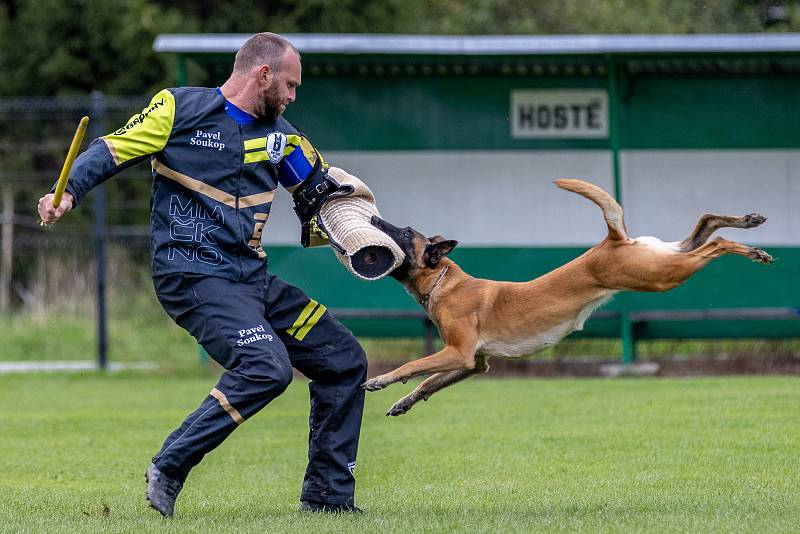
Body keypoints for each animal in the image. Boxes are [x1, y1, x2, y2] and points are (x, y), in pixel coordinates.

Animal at [366, 180, 772, 418]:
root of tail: (611, 240)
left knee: (716, 243)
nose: (373, 219)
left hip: (660, 276)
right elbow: (427, 382)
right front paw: (403, 401)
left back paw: (753, 251)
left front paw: (380, 380)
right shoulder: (473, 363)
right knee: (705, 224)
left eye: (405, 232)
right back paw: (748, 222)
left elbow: (412, 365)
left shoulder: (459, 352)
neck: (443, 281)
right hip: (663, 259)